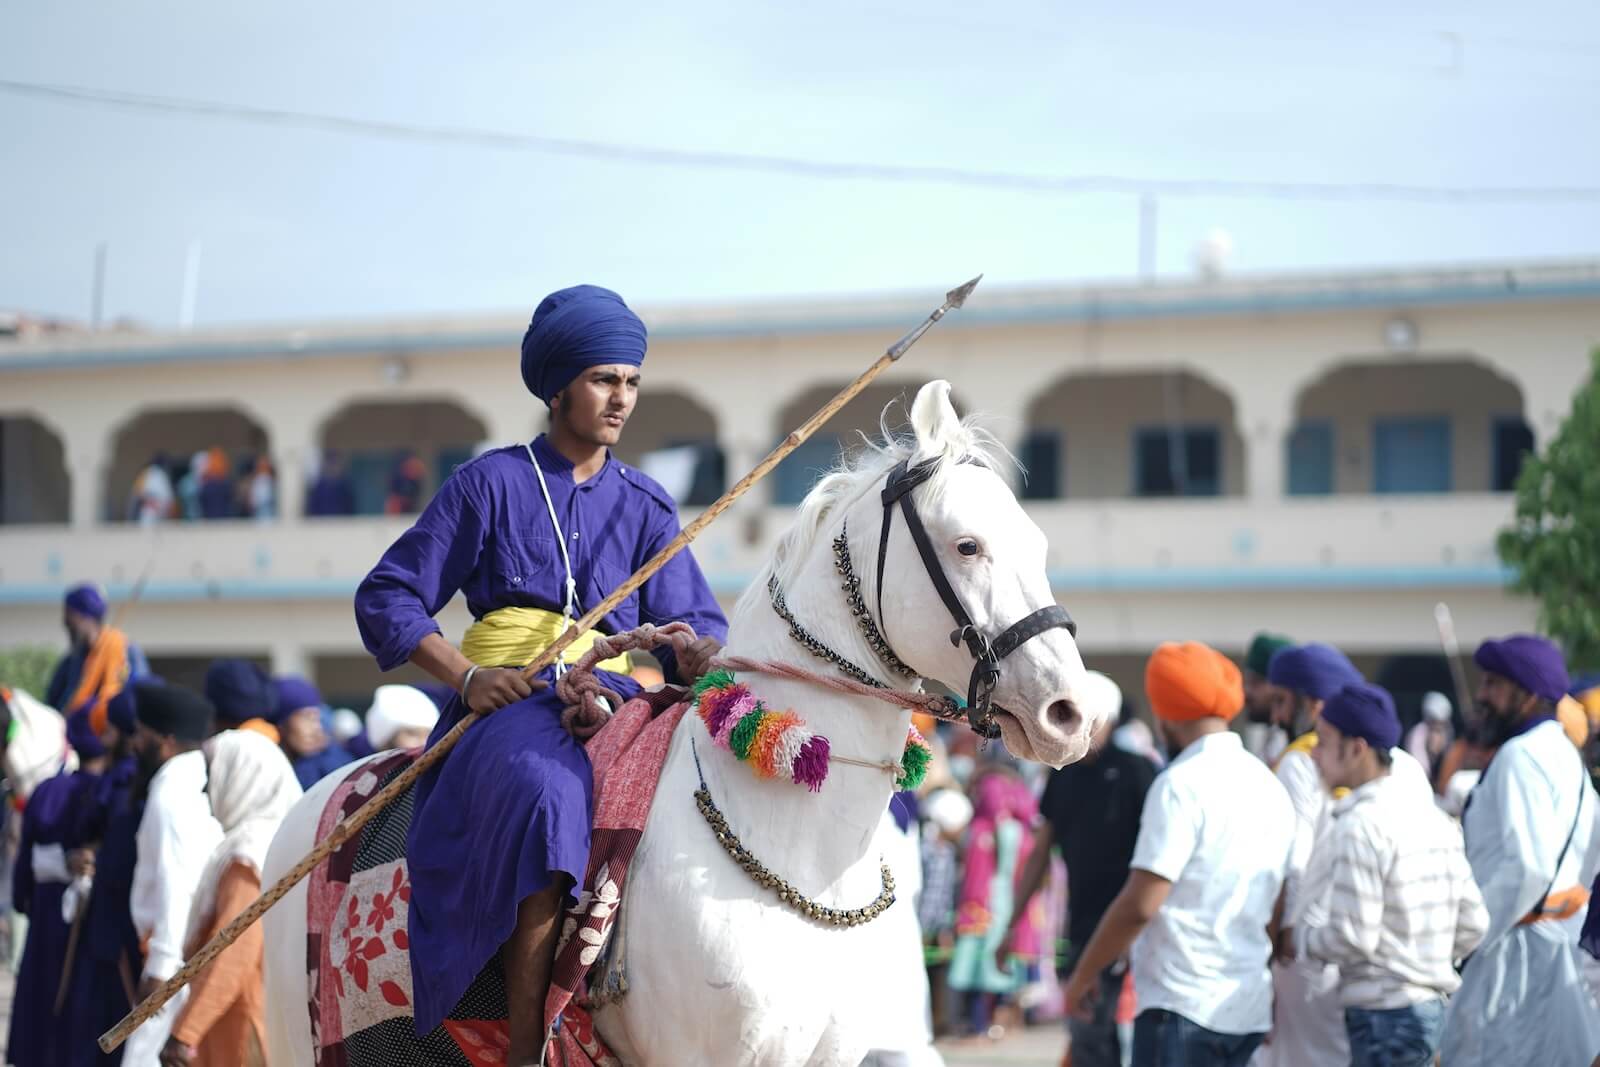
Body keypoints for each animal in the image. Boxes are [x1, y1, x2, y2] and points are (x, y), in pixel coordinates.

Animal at [262, 379, 1104, 1065]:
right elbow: (390, 594)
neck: (798, 848)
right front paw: (497, 681)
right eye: (968, 545)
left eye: (1037, 543)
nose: (1072, 711)